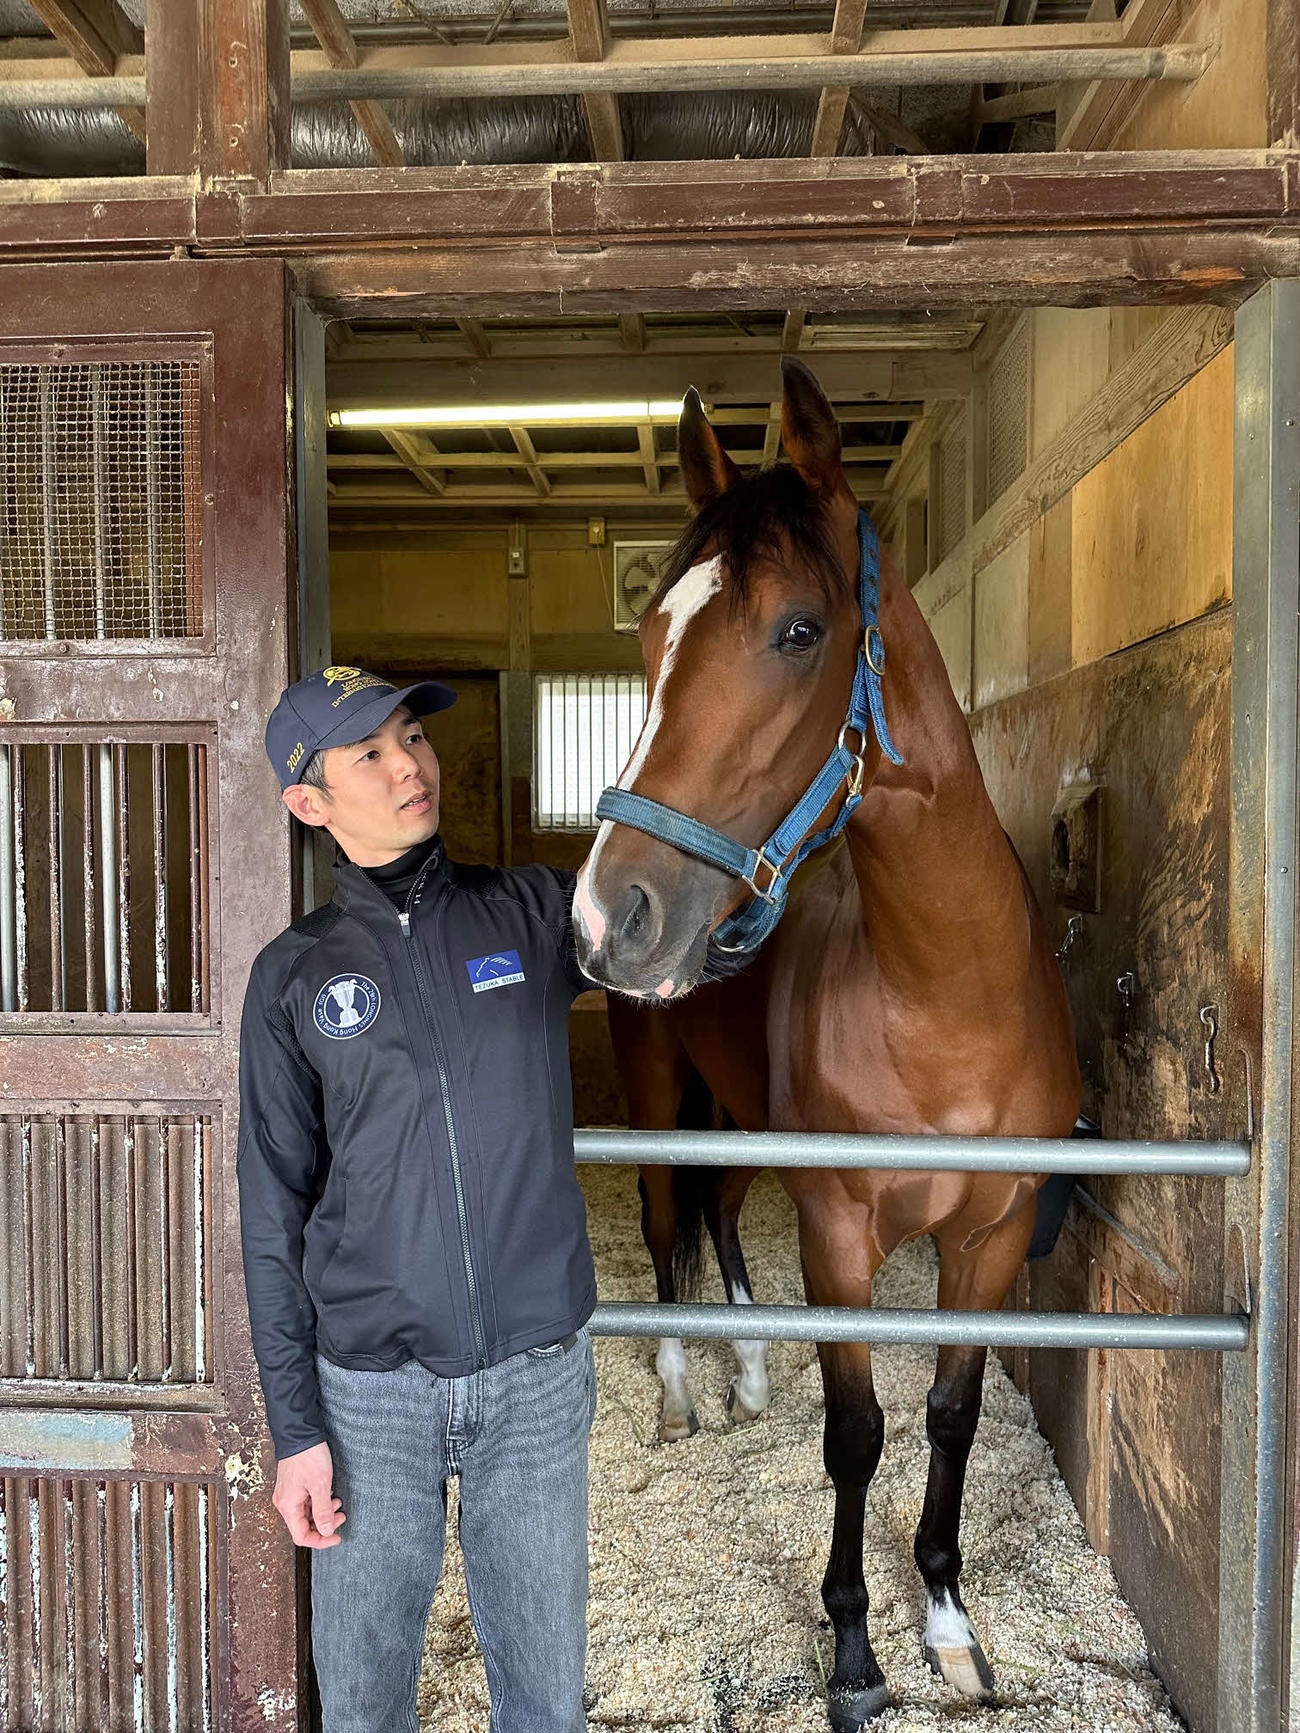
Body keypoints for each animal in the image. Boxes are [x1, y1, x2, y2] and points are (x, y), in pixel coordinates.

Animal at [573, 358, 1080, 1728]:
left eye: (799, 630)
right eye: (646, 639)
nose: (610, 913)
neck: (943, 1002)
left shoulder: (990, 1234)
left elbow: (950, 1414)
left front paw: (949, 1622)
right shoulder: (842, 1233)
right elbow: (854, 1434)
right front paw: (852, 1652)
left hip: (744, 1117)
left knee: (716, 1209)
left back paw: (748, 1374)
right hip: (658, 1089)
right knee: (665, 1219)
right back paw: (684, 1396)